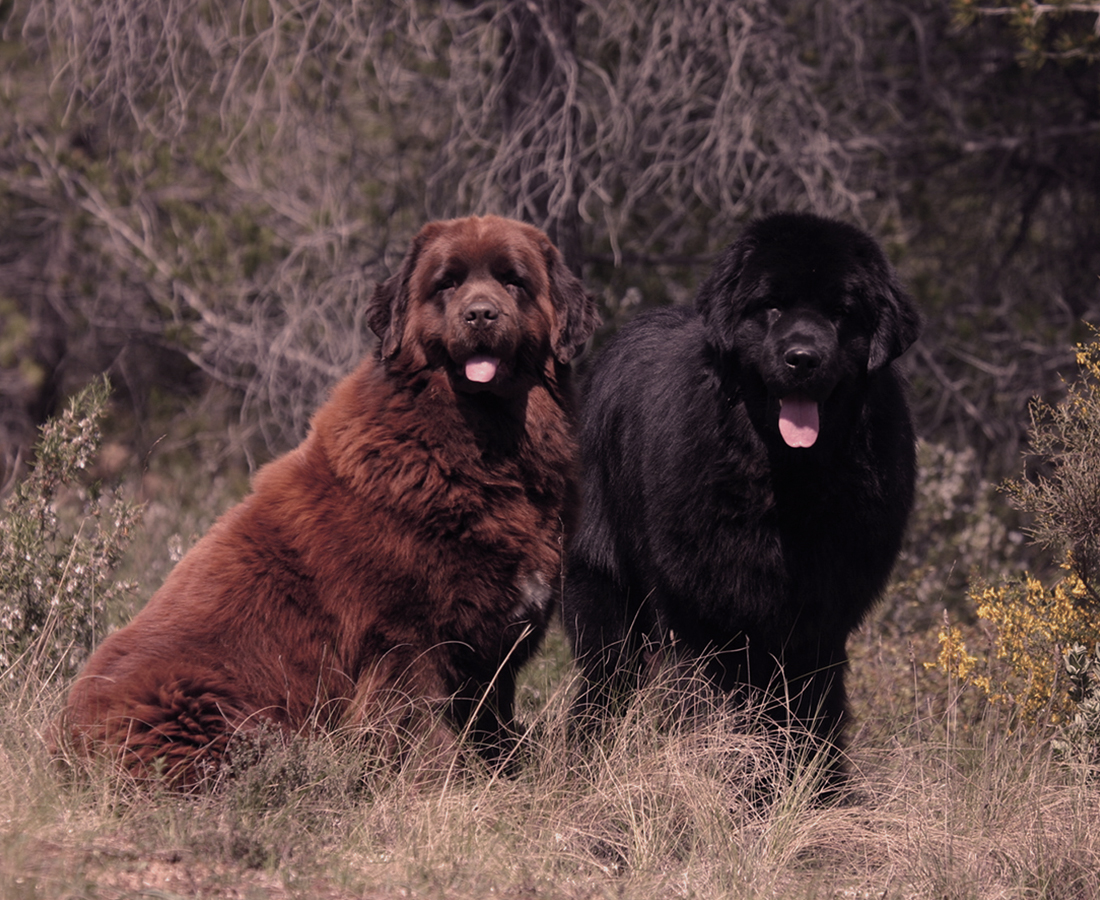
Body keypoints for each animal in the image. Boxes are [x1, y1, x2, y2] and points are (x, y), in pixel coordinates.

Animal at [61, 213, 602, 783]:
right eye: (447, 284)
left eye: (513, 281)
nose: (480, 313)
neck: (479, 449)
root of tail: (60, 741)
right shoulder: (405, 637)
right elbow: (418, 723)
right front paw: (443, 781)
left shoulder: (494, 646)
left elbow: (491, 719)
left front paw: (506, 772)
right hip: (201, 704)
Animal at [567, 213, 919, 783]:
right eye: (771, 305)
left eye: (841, 312)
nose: (802, 358)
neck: (788, 483)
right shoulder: (703, 614)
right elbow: (707, 703)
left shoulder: (819, 621)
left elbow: (811, 710)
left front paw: (815, 789)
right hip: (605, 580)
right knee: (608, 674)